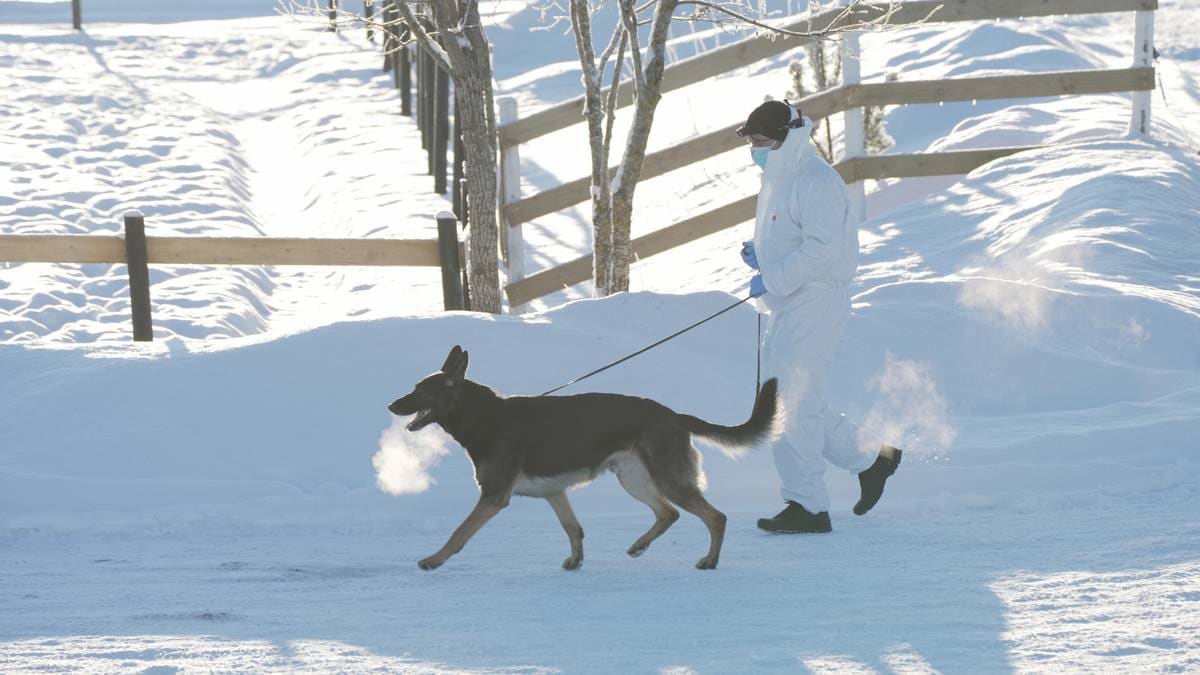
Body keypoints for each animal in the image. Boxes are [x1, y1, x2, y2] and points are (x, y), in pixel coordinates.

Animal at [384, 343, 777, 569]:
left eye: (420, 391)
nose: (390, 405)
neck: (482, 416)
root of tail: (674, 415)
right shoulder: (554, 492)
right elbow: (573, 528)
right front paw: (576, 560)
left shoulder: (494, 497)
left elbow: (458, 532)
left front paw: (434, 560)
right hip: (633, 479)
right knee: (669, 513)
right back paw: (639, 546)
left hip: (667, 480)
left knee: (715, 517)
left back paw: (710, 561)